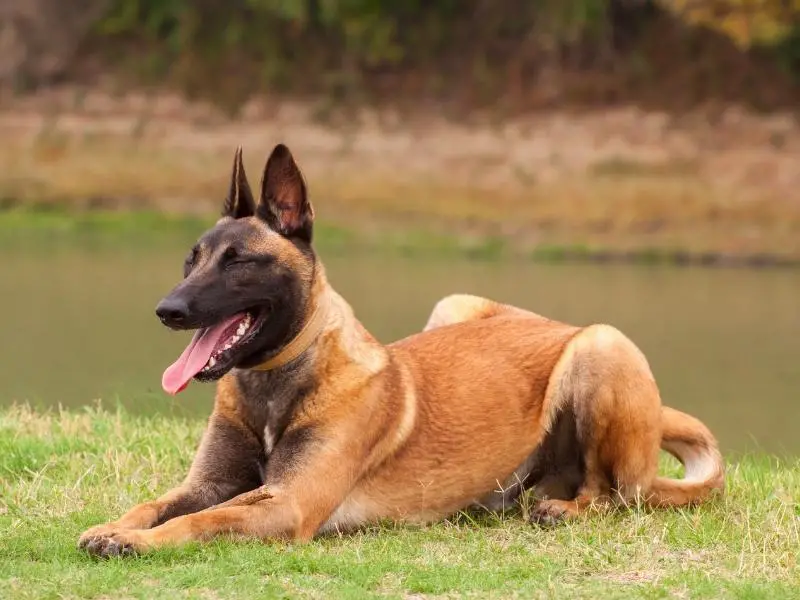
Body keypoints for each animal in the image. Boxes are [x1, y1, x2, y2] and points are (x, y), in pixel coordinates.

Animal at [76, 142, 724, 556]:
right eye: (192, 259)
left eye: (239, 263)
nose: (168, 310)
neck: (277, 383)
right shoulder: (207, 484)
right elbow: (158, 503)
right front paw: (115, 526)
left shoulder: (287, 503)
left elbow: (204, 520)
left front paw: (135, 542)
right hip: (455, 305)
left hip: (599, 346)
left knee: (611, 495)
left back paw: (565, 508)